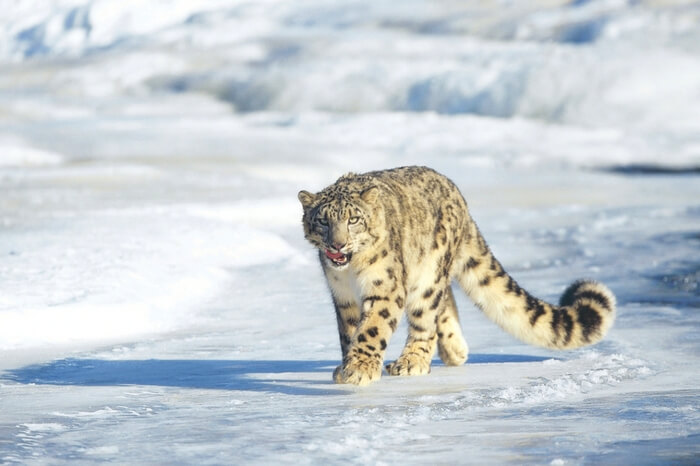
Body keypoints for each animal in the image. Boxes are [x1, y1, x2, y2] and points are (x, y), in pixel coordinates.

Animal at [298, 166, 616, 384]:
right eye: (323, 221)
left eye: (353, 219)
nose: (337, 244)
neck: (352, 273)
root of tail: (458, 196)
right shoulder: (342, 295)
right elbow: (349, 331)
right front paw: (347, 365)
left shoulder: (384, 288)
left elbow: (372, 328)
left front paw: (360, 368)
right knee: (444, 300)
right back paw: (454, 349)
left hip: (429, 272)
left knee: (427, 315)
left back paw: (412, 361)